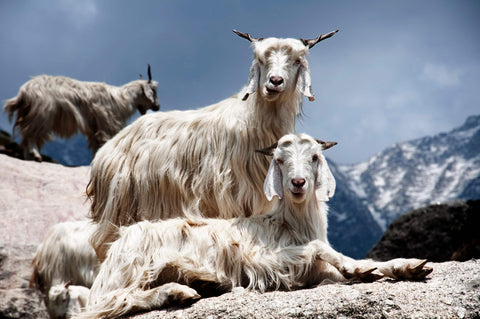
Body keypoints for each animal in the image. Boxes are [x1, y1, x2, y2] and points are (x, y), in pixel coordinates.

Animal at [2, 64, 159, 162]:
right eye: (154, 90)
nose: (157, 106)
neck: (122, 98)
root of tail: (24, 91)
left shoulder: (94, 129)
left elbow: (96, 146)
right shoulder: (107, 124)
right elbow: (104, 143)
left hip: (32, 114)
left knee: (26, 137)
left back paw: (30, 158)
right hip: (41, 115)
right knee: (31, 134)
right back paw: (36, 156)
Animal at [80, 134, 434, 319]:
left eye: (315, 157)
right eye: (279, 159)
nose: (297, 183)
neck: (290, 223)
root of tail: (114, 248)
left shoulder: (313, 272)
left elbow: (364, 262)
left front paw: (408, 267)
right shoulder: (263, 262)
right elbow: (322, 250)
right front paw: (358, 270)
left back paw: (203, 281)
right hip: (131, 267)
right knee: (106, 303)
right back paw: (183, 289)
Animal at [88, 28, 340, 262]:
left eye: (297, 60)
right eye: (260, 60)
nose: (274, 82)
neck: (252, 122)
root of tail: (105, 152)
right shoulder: (231, 199)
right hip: (119, 209)